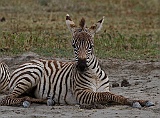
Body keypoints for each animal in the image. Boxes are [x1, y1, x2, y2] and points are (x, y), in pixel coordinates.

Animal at [0, 14, 155, 108]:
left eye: (91, 46)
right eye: (73, 46)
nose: (81, 66)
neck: (94, 75)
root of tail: (27, 62)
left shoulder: (102, 89)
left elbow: (117, 96)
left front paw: (139, 101)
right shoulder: (82, 93)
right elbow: (107, 95)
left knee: (25, 96)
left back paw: (47, 100)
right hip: (32, 74)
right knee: (8, 98)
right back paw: (26, 102)